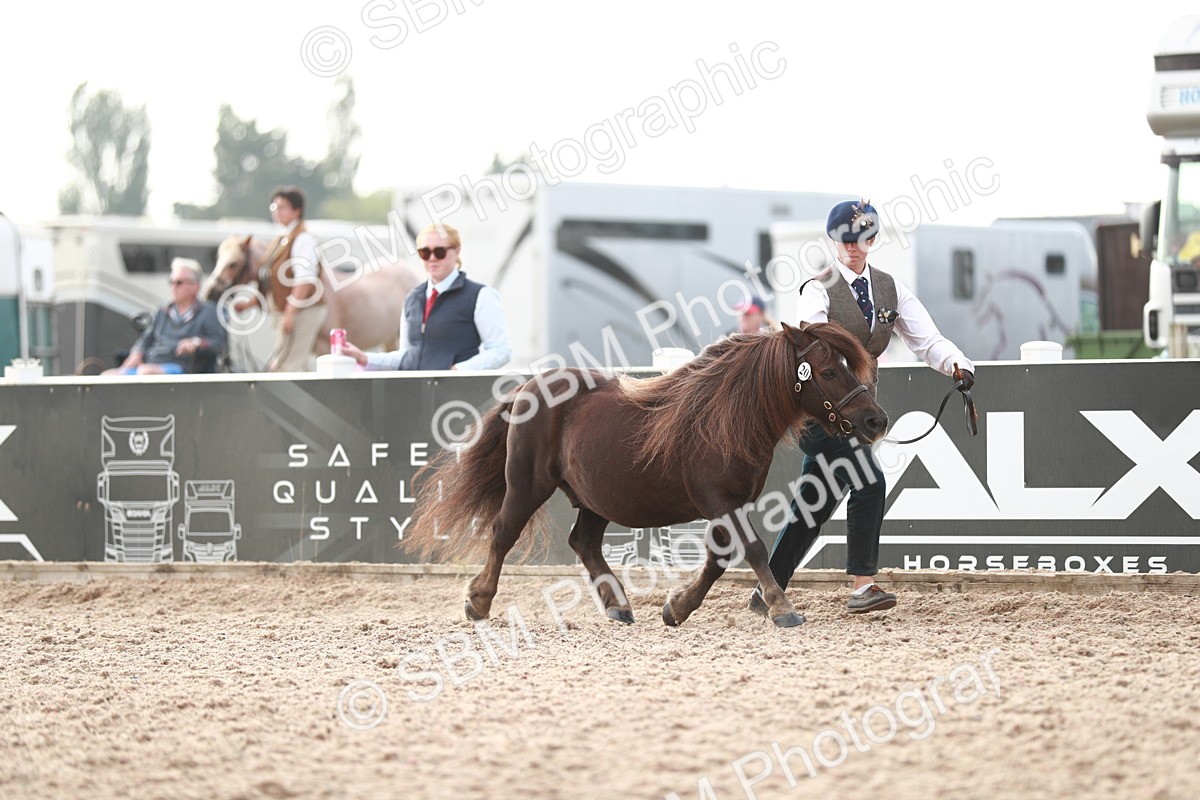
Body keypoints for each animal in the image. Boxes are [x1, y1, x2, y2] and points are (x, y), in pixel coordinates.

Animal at [404, 321, 888, 629]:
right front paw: (782, 607)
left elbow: (717, 559)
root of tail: (526, 388)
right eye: (828, 371)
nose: (876, 420)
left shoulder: (730, 504)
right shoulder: (720, 502)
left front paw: (677, 609)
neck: (724, 417)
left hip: (597, 498)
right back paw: (479, 601)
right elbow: (751, 549)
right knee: (504, 532)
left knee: (583, 542)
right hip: (526, 486)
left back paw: (617, 605)